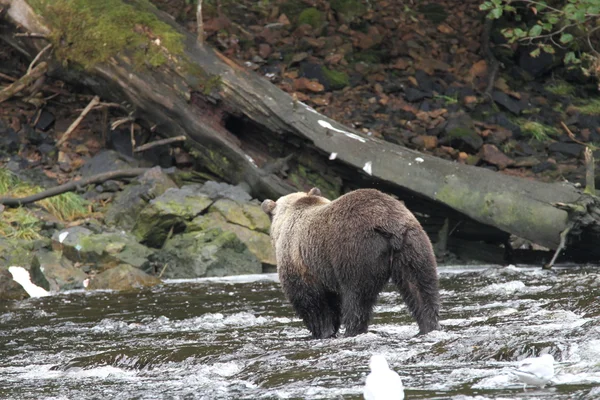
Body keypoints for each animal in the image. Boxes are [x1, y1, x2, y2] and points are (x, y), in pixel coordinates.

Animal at [262, 188, 440, 338]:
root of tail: (389, 224)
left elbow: (309, 301)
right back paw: (428, 326)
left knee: (357, 299)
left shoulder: (300, 264)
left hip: (355, 252)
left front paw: (322, 331)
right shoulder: (324, 272)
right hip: (413, 247)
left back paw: (352, 331)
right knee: (420, 288)